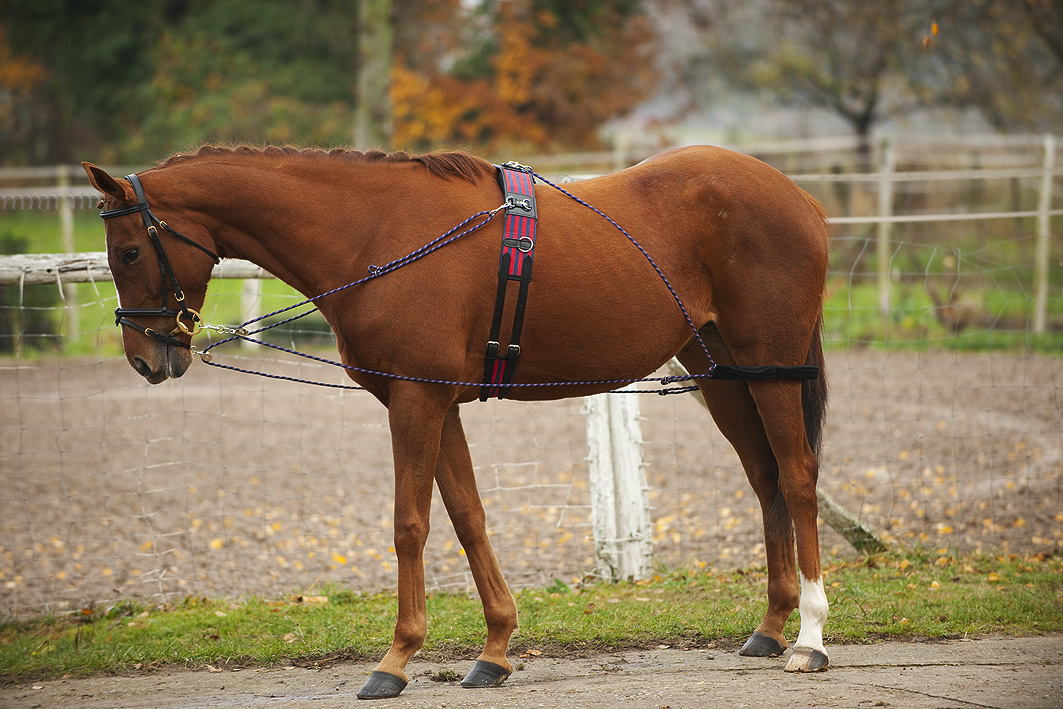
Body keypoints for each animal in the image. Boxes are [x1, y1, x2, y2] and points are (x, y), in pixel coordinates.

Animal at [85, 145, 829, 697]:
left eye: (128, 251)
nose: (144, 357)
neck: (376, 230)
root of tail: (798, 198)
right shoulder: (434, 404)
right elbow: (468, 514)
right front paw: (495, 649)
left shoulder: (416, 401)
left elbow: (409, 524)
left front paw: (394, 660)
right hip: (723, 374)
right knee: (766, 479)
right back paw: (770, 626)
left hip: (771, 368)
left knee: (796, 478)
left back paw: (810, 638)